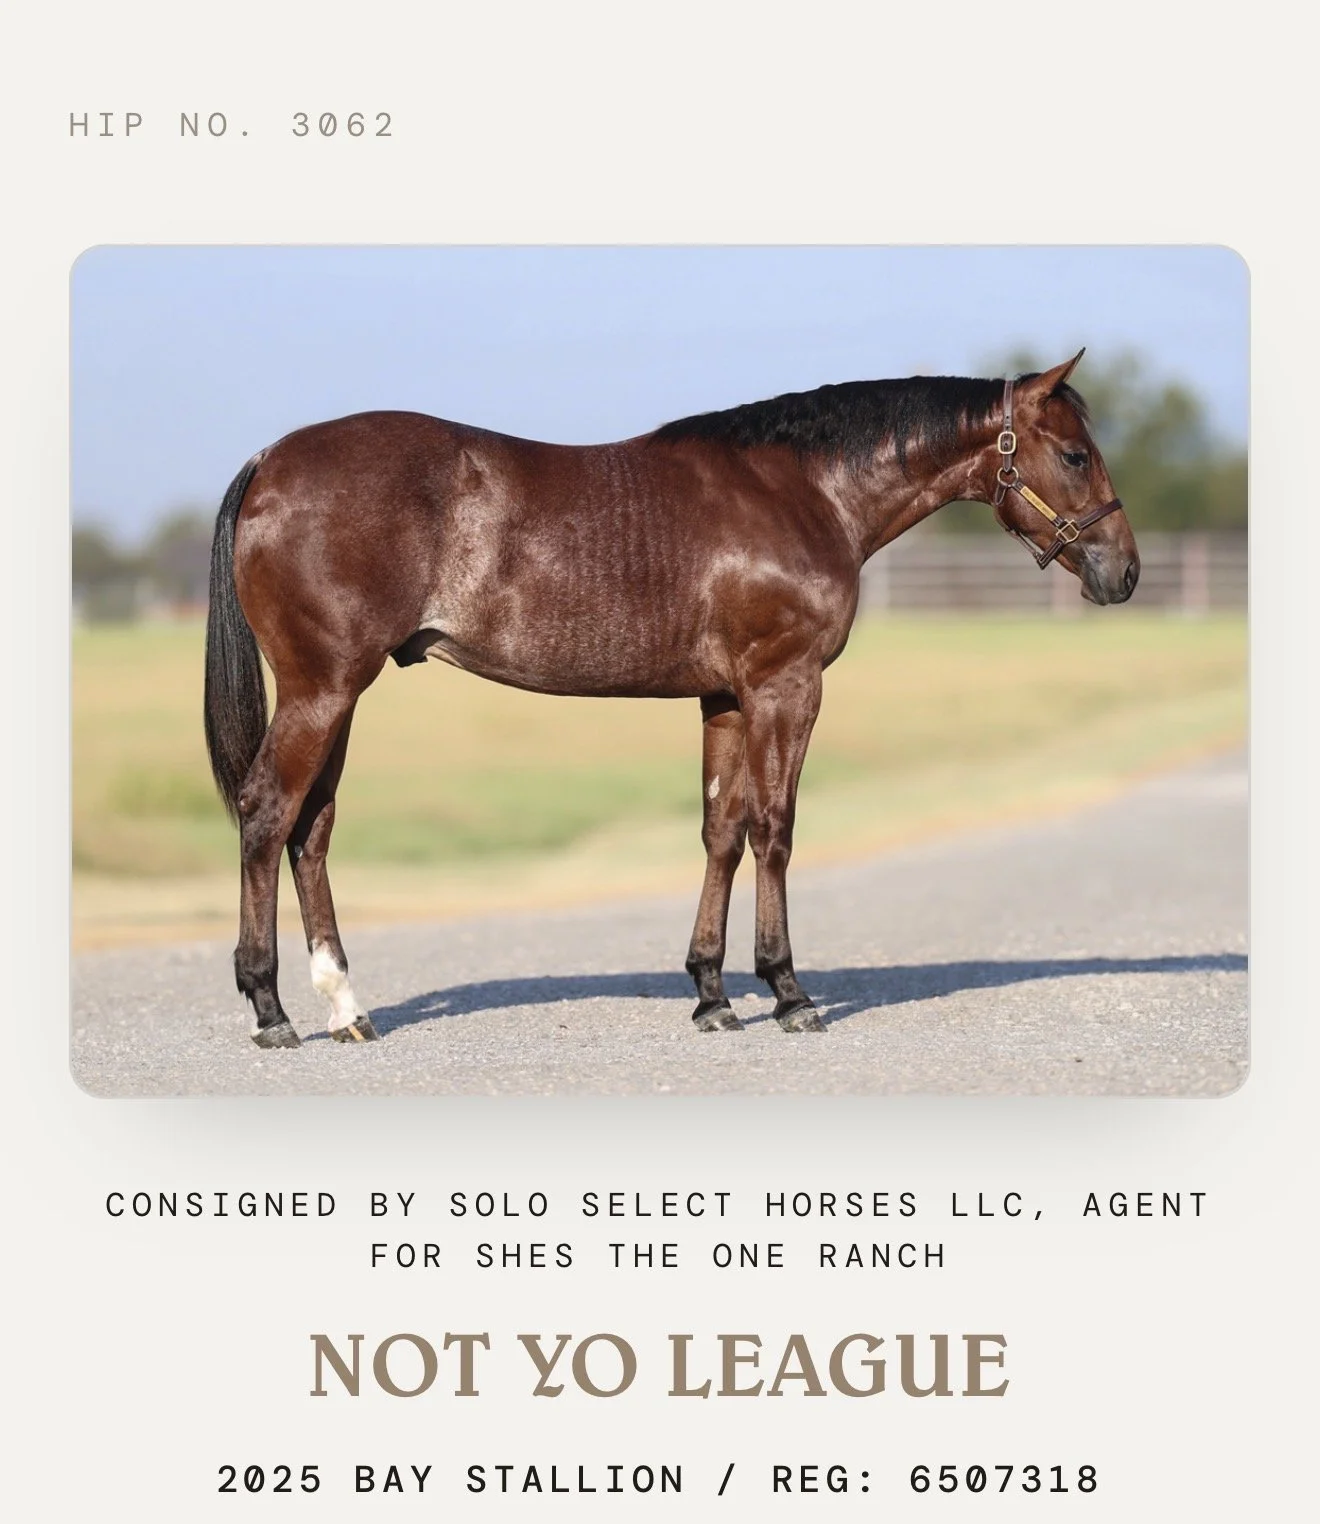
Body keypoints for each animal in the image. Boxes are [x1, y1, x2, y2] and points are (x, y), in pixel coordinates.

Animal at [203, 350, 1138, 1048]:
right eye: (1076, 454)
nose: (1123, 572)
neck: (803, 491)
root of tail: (268, 461)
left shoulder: (723, 697)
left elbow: (721, 832)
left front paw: (712, 994)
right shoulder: (784, 686)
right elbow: (773, 831)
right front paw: (788, 991)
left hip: (338, 694)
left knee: (311, 829)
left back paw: (345, 1006)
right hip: (324, 688)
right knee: (266, 813)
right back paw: (271, 1010)